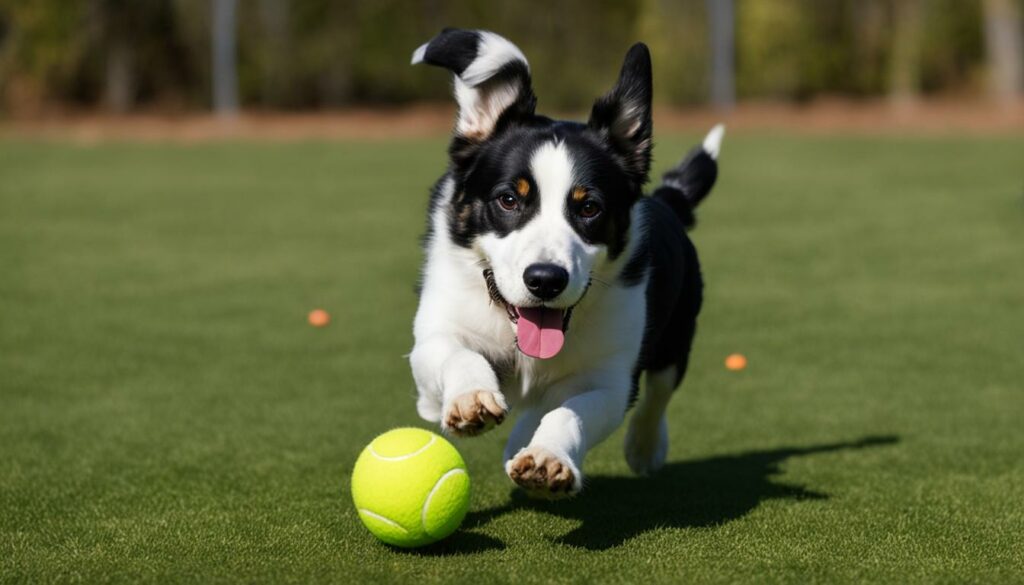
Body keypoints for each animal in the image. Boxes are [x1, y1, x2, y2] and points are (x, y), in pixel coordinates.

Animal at [405, 28, 720, 499]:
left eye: (589, 207)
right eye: (508, 199)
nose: (545, 280)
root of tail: (669, 199)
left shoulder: (610, 379)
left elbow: (571, 412)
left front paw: (548, 458)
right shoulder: (435, 335)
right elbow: (456, 355)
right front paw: (471, 400)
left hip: (676, 337)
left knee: (658, 392)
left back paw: (643, 448)